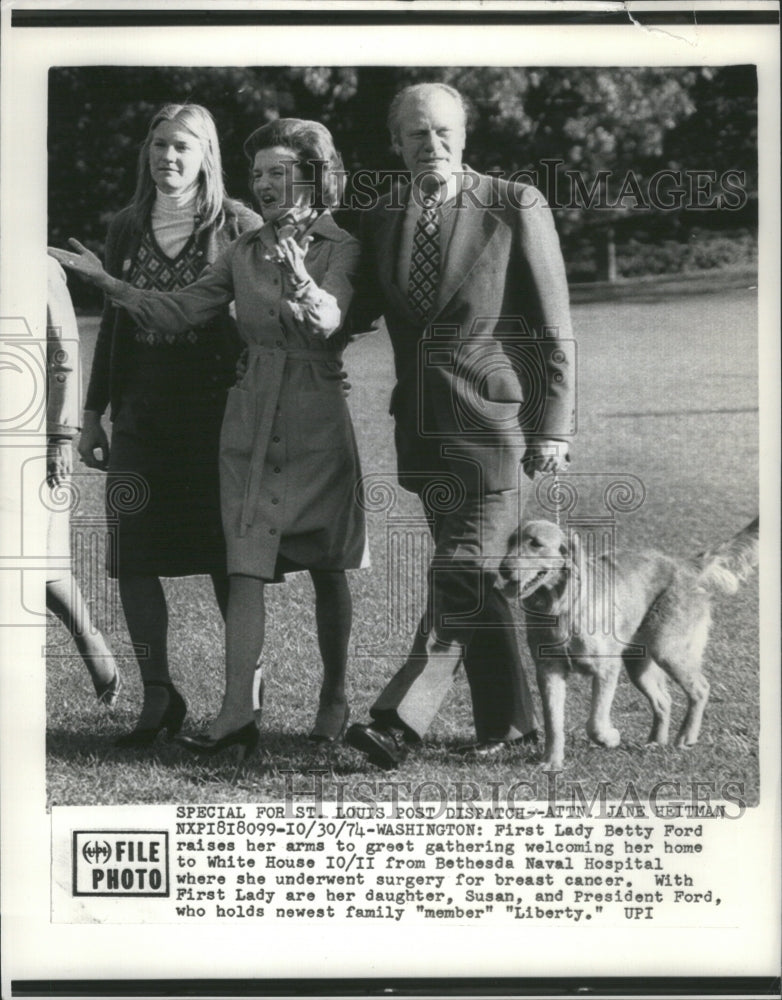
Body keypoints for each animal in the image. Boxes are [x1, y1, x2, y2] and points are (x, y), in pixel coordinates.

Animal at [500, 516, 764, 764]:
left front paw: (610, 738)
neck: (561, 605)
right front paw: (552, 762)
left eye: (535, 544)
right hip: (638, 665)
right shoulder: (548, 670)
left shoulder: (607, 667)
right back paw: (656, 742)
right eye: (510, 543)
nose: (503, 568)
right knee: (664, 701)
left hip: (668, 650)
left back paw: (686, 737)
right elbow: (553, 722)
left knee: (700, 689)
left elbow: (595, 722)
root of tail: (685, 564)